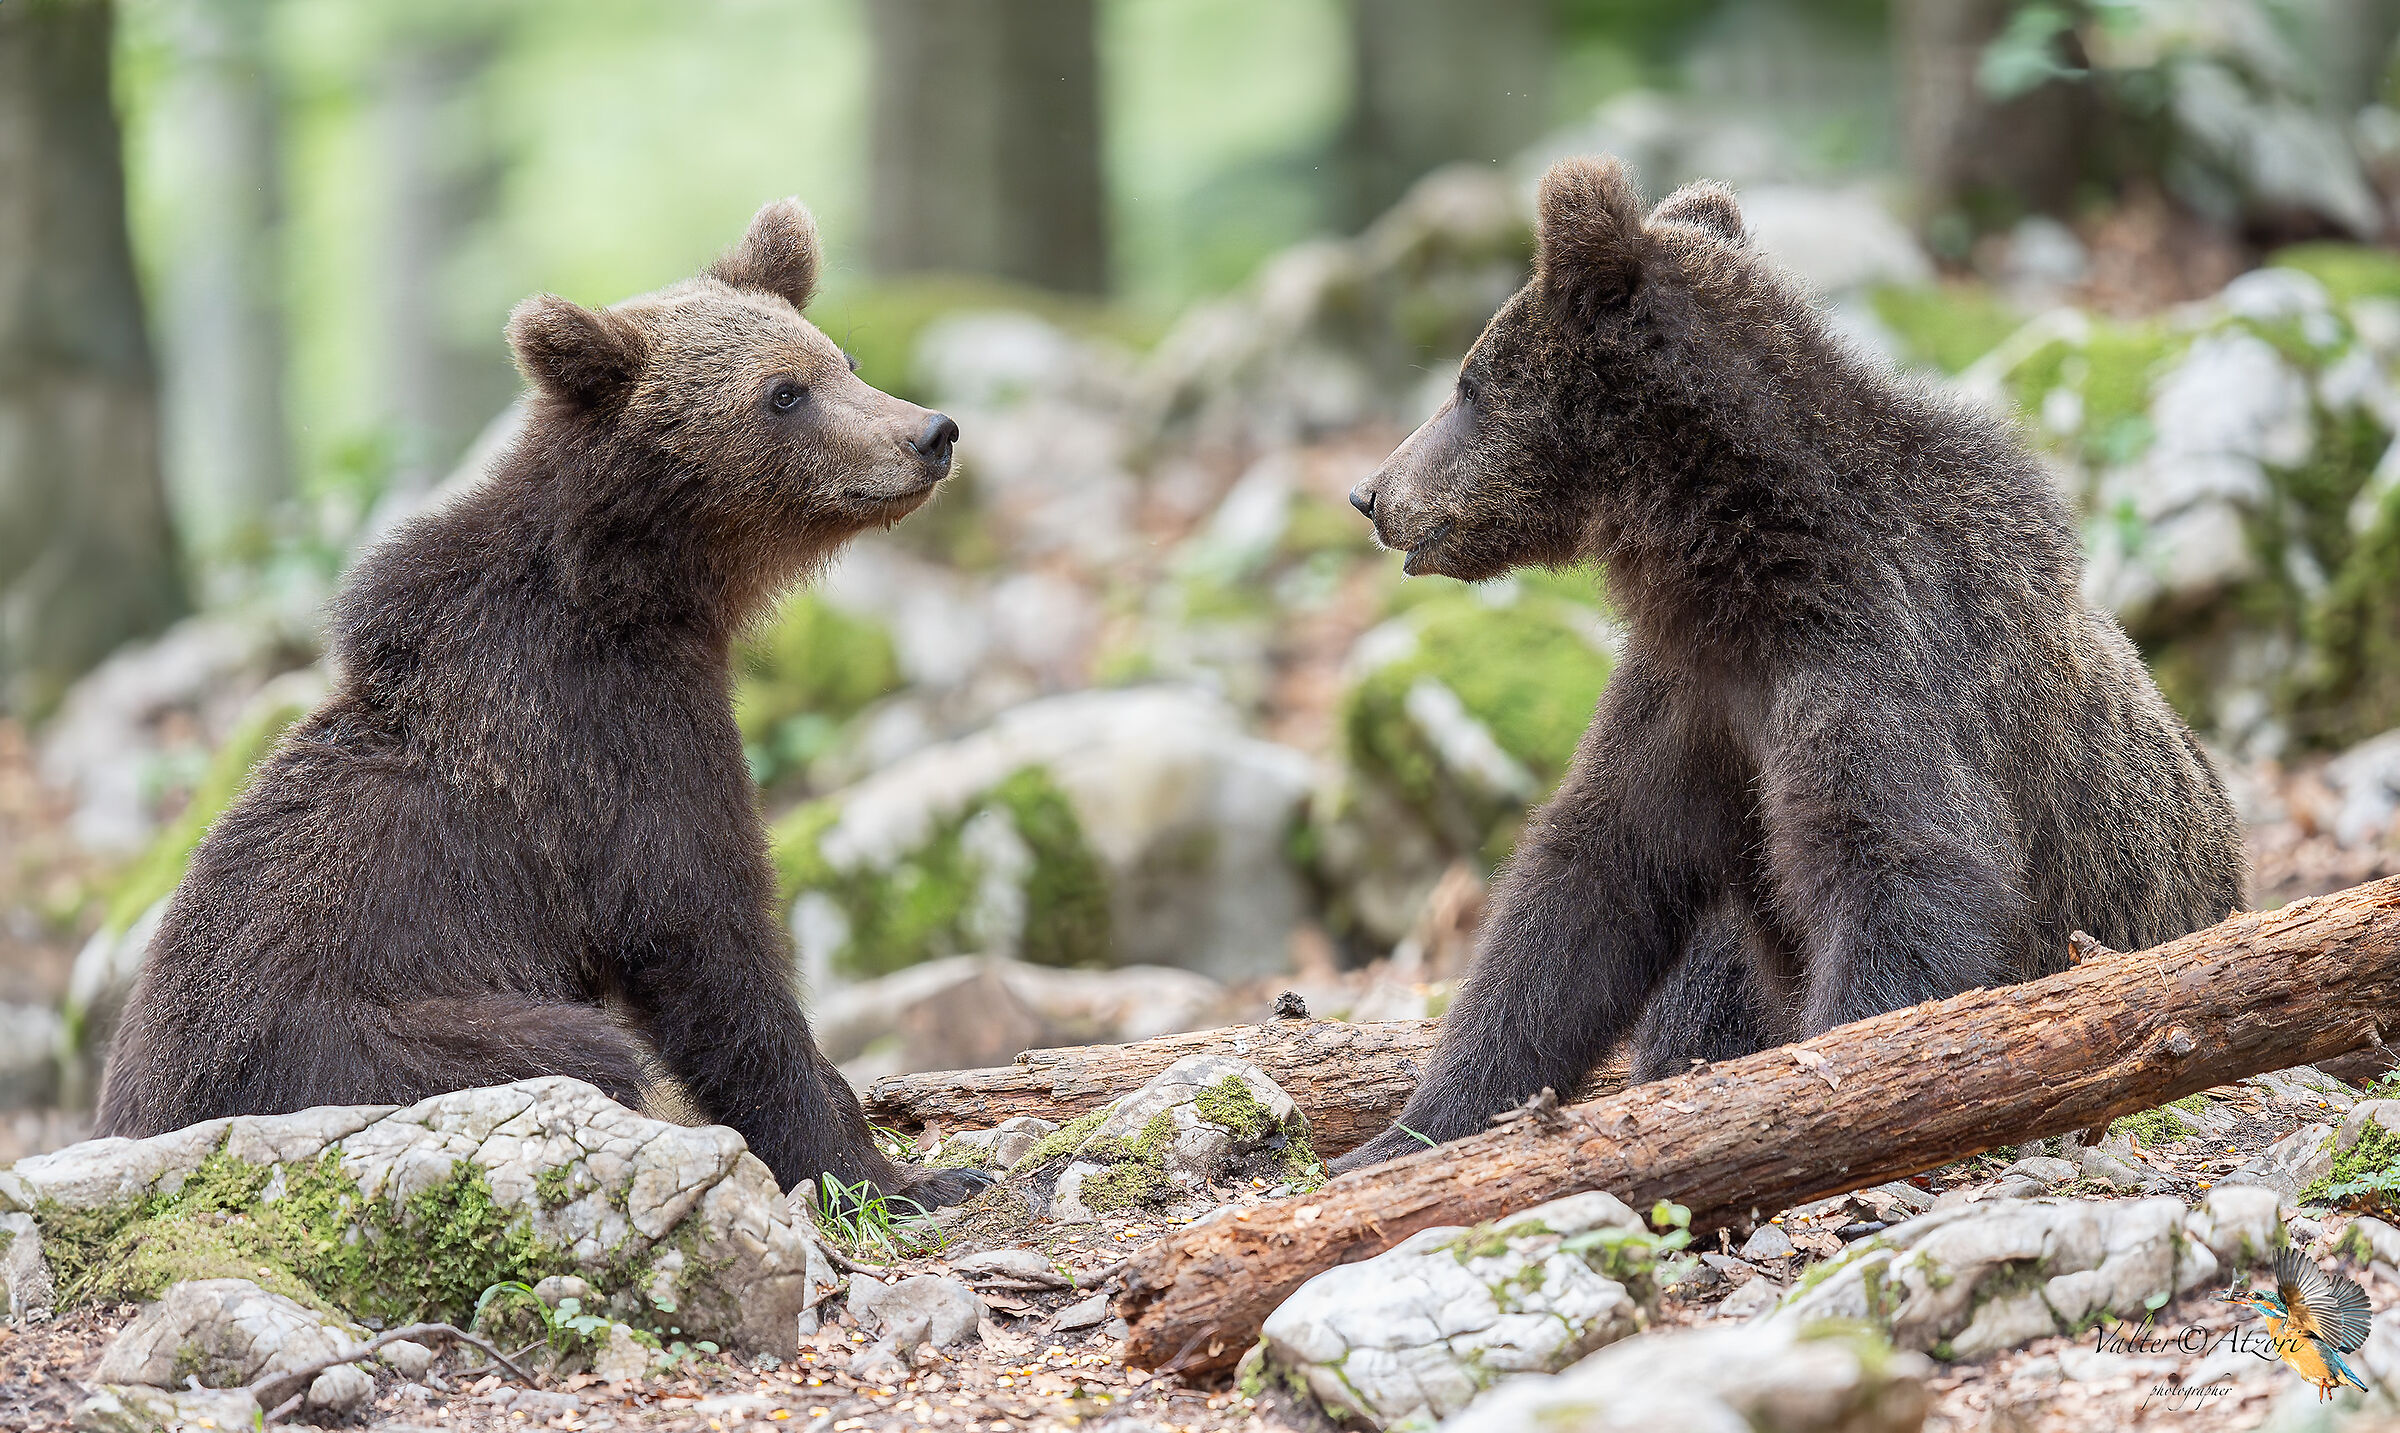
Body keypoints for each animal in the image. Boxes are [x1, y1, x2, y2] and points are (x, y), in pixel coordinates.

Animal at [97, 199, 988, 1210]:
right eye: (783, 393)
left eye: (845, 359)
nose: (931, 432)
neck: (638, 595)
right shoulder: (605, 740)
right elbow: (704, 935)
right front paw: (893, 1172)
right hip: (353, 1045)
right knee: (573, 1043)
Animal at [1330, 156, 2246, 1173]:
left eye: (1466, 389)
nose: (1370, 493)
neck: (1748, 569)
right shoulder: (1693, 694)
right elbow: (1584, 887)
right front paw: (1404, 1133)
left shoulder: (1878, 661)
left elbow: (1905, 873)